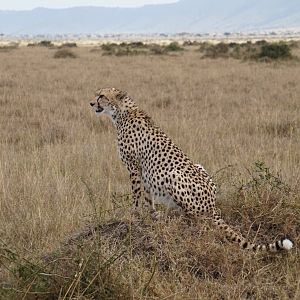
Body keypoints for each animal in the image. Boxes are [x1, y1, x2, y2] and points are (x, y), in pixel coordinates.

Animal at [89, 88, 292, 252]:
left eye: (101, 96)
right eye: (96, 94)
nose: (91, 103)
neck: (121, 112)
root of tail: (212, 206)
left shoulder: (134, 166)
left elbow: (137, 194)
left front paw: (135, 215)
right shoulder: (144, 171)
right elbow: (147, 196)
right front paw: (150, 214)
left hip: (173, 174)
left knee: (196, 218)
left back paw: (178, 216)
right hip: (200, 166)